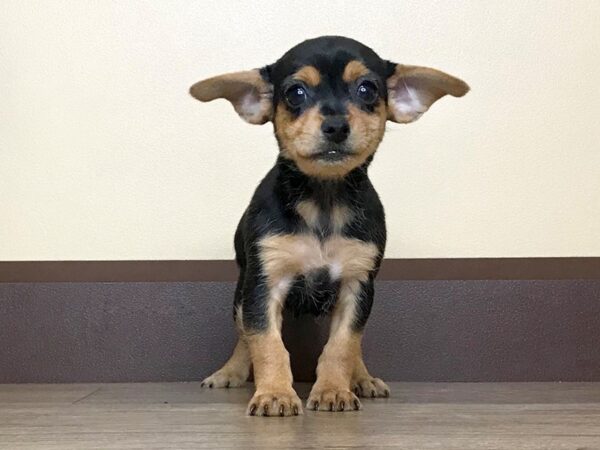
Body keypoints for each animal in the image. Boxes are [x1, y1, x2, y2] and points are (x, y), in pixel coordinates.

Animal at [190, 36, 466, 418]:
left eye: (367, 89)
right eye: (295, 93)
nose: (336, 125)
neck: (324, 200)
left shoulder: (357, 286)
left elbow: (343, 345)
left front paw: (334, 390)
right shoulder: (264, 285)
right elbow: (266, 344)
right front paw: (274, 394)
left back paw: (362, 378)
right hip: (241, 295)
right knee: (244, 337)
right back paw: (230, 372)